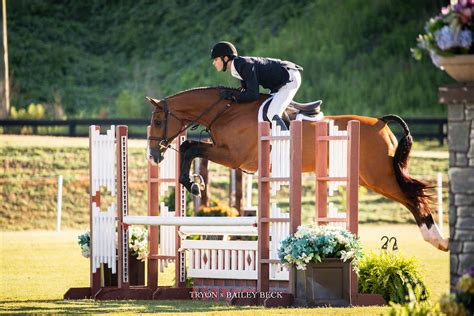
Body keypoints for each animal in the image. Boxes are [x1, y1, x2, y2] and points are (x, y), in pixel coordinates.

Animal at [146, 86, 450, 252]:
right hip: (370, 179)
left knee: (413, 197)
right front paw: (194, 182)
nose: (153, 155)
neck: (228, 110)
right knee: (411, 197)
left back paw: (436, 239)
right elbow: (190, 147)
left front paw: (193, 184)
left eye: (158, 120)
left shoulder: (234, 157)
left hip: (379, 177)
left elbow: (189, 148)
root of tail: (380, 122)